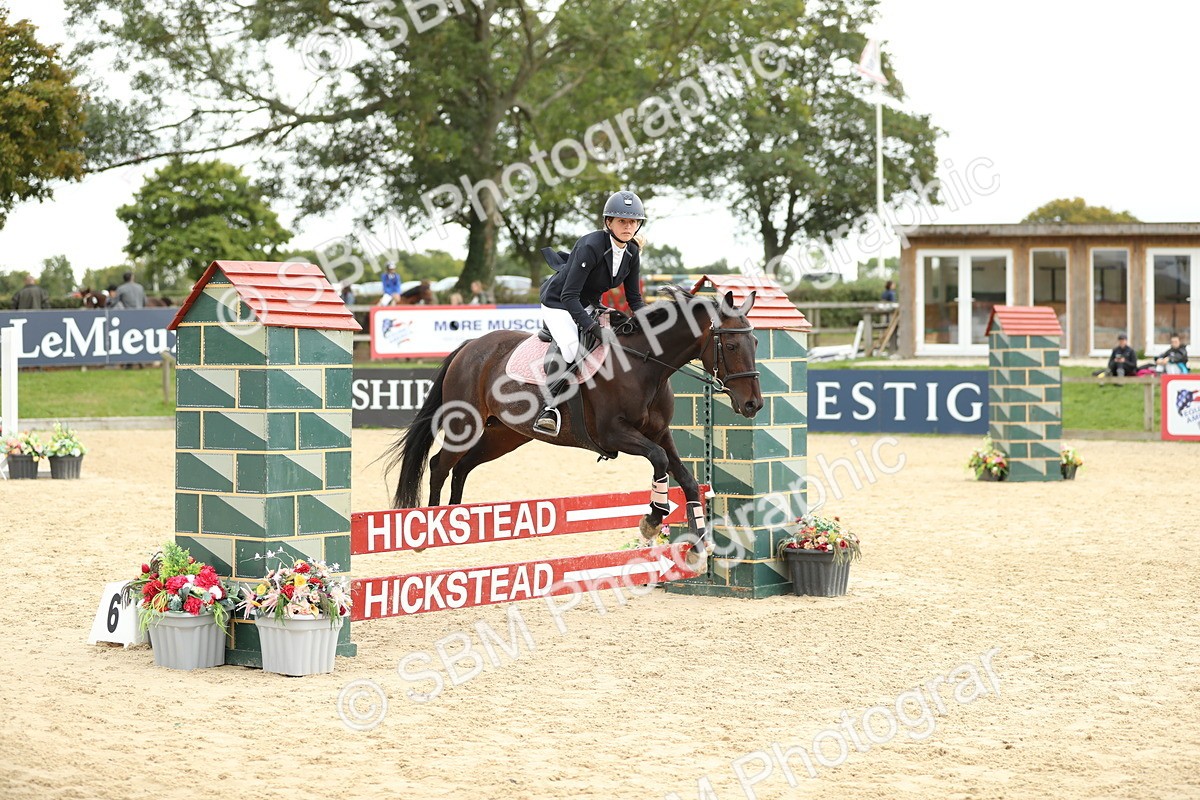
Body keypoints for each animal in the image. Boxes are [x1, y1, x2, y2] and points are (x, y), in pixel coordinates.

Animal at [386, 287, 763, 564]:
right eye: (731, 345)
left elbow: (686, 479)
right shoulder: (616, 434)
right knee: (440, 464)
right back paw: (432, 532)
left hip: (503, 435)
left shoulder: (659, 434)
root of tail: (468, 346)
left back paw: (457, 525)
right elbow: (657, 460)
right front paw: (652, 521)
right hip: (465, 423)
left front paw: (699, 543)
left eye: (756, 342)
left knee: (462, 466)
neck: (645, 366)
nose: (753, 405)